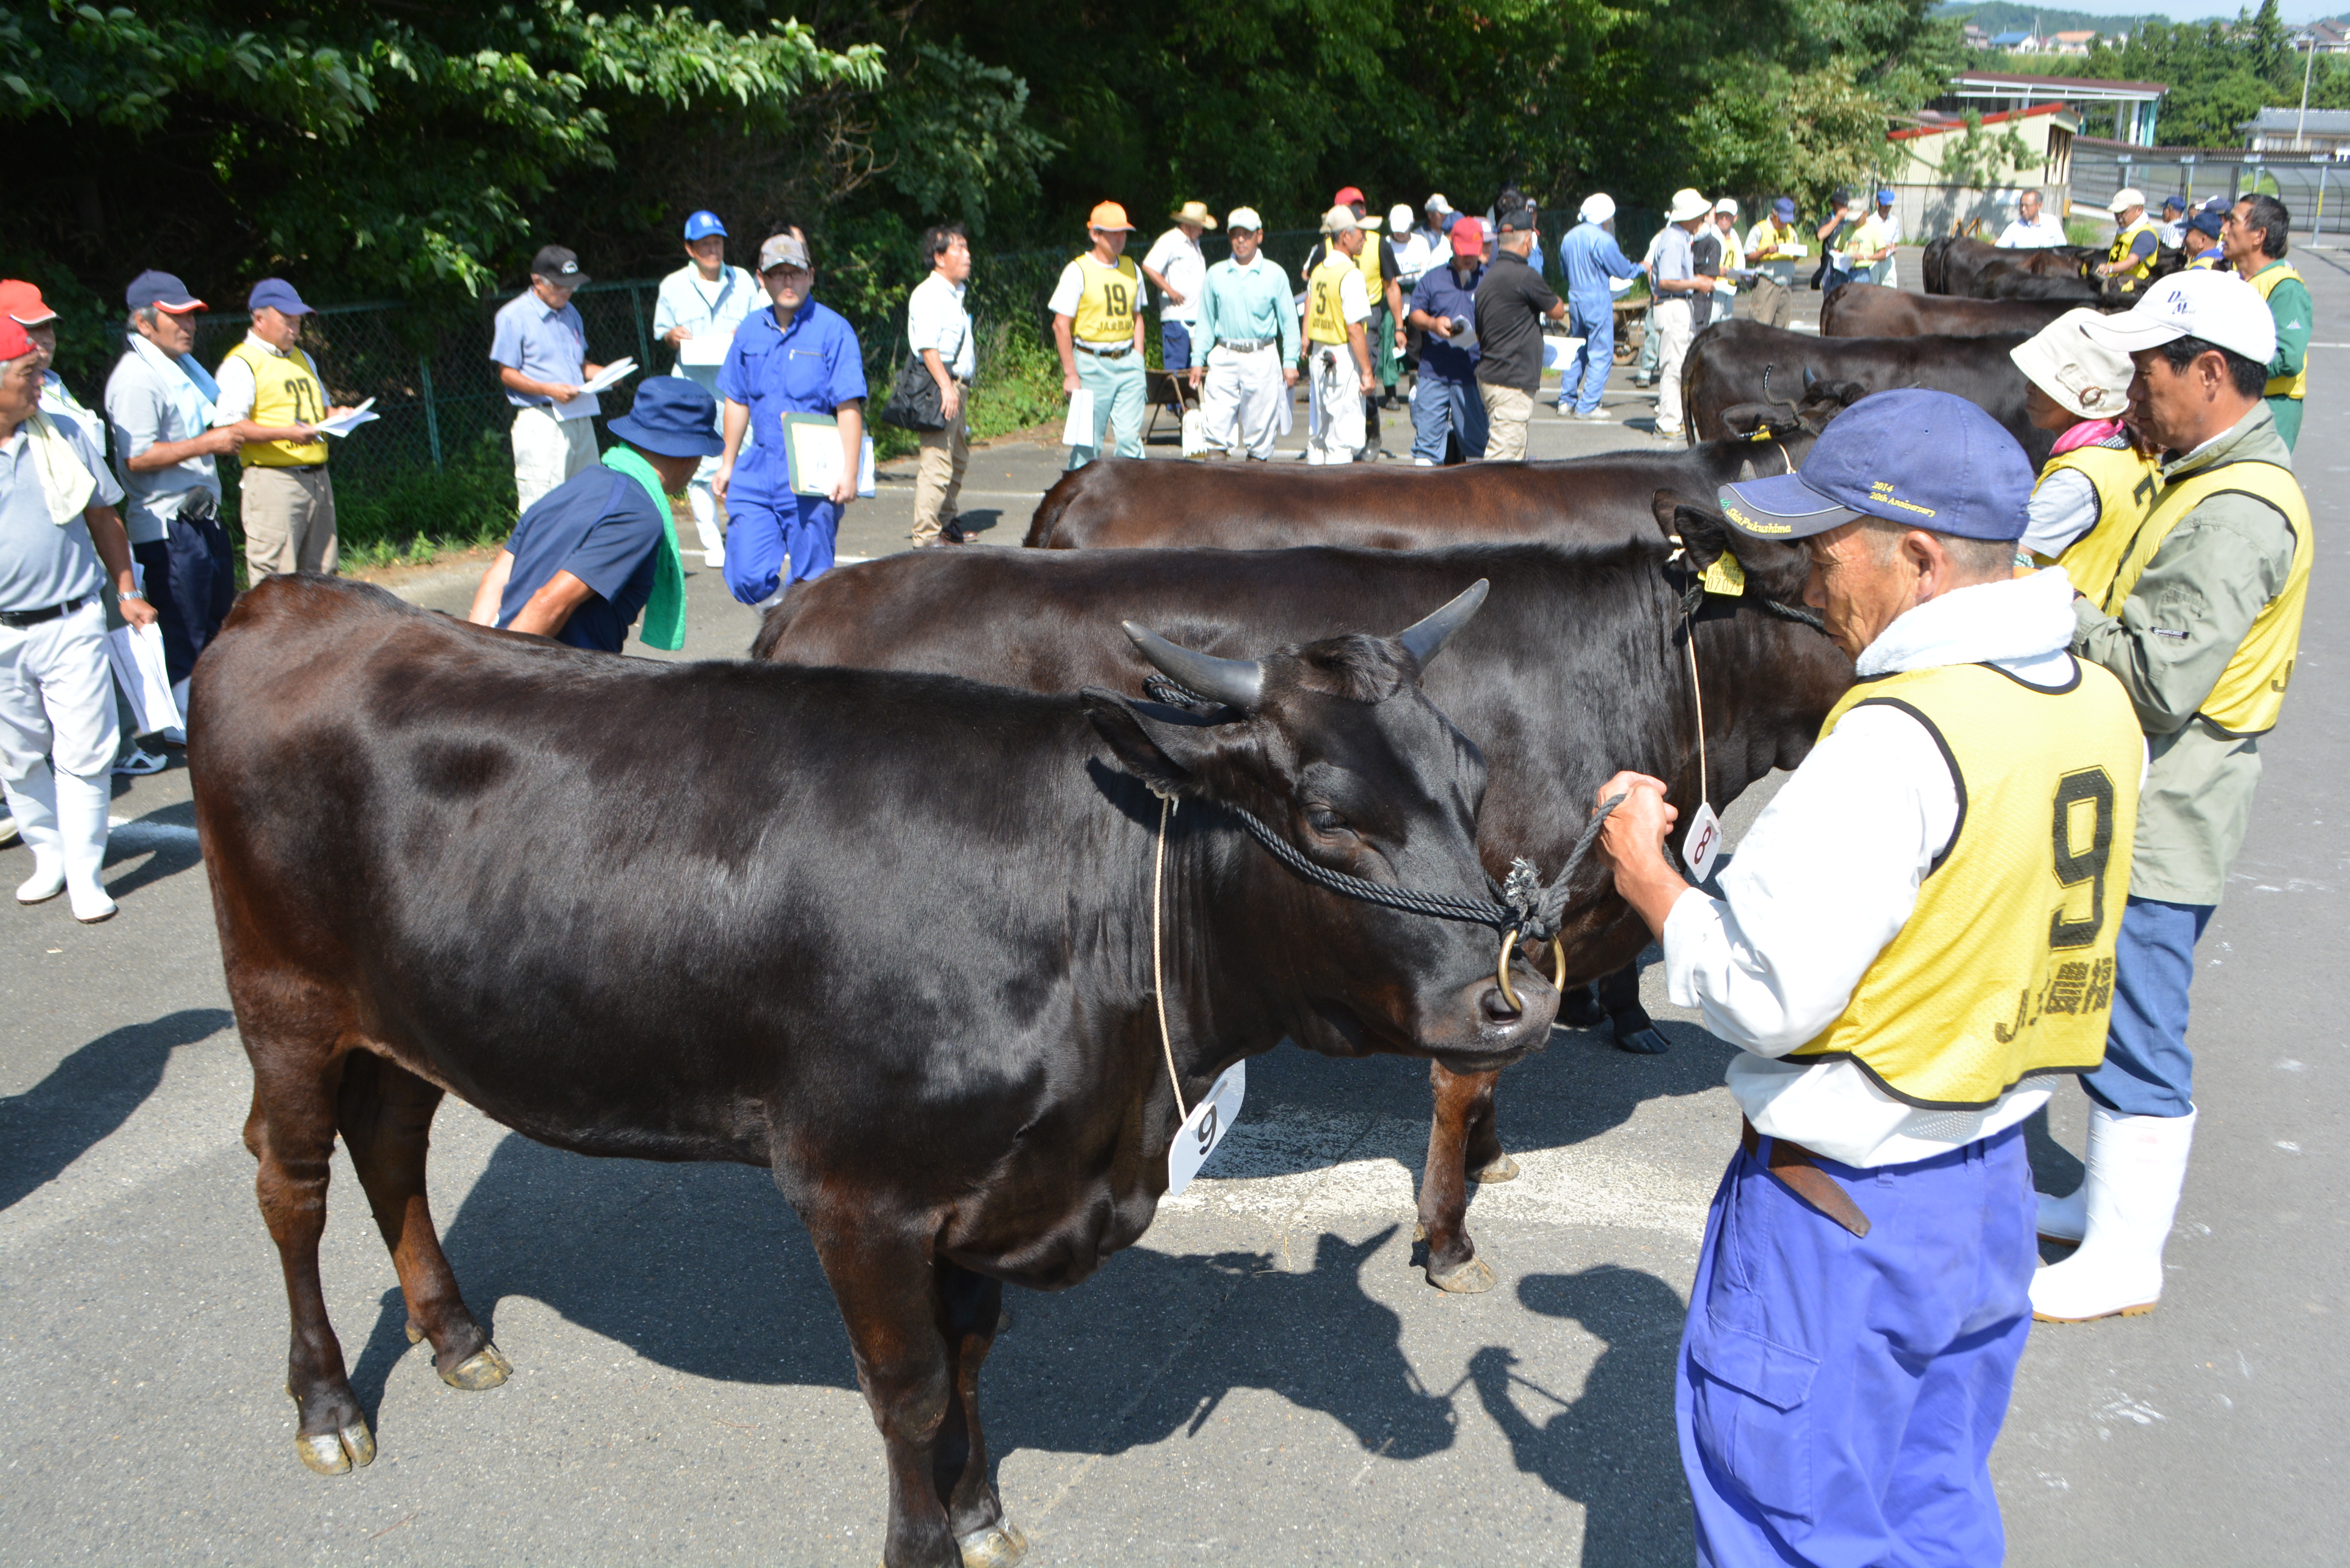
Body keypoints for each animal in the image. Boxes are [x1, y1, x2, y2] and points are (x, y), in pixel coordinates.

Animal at [190, 574, 1554, 1568]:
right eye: (1325, 812)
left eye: (1471, 778)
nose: (1509, 998)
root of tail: (299, 600)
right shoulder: (860, 1193)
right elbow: (907, 1389)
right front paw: (923, 1541)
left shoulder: (991, 1184)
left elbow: (971, 1357)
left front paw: (981, 1508)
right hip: (284, 1003)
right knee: (291, 1184)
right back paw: (329, 1406)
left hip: (413, 1015)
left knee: (393, 1147)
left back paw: (455, 1332)